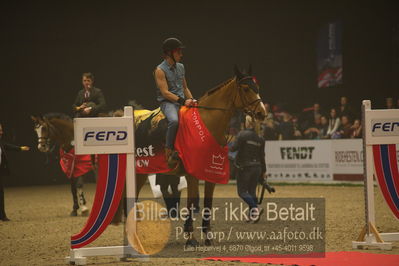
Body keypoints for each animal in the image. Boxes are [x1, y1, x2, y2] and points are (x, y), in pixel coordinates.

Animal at [131, 65, 268, 246]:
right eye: (246, 88)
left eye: (256, 87)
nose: (261, 113)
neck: (208, 124)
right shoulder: (192, 175)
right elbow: (192, 200)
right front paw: (190, 237)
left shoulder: (211, 173)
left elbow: (207, 202)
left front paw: (207, 235)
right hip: (139, 172)